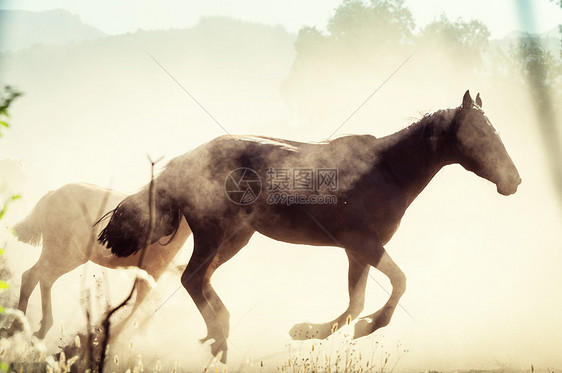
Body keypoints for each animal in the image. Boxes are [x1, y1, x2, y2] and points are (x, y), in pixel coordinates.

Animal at [12, 182, 190, 338]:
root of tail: (53, 194)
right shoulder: (152, 273)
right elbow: (136, 307)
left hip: (65, 256)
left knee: (41, 278)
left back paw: (34, 327)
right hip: (64, 254)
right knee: (34, 276)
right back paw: (21, 326)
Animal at [98, 91, 520, 362]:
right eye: (481, 136)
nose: (514, 181)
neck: (388, 170)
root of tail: (187, 160)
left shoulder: (356, 252)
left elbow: (355, 303)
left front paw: (308, 330)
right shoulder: (364, 244)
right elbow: (397, 283)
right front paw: (368, 326)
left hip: (237, 238)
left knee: (200, 280)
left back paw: (222, 331)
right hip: (214, 233)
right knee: (192, 279)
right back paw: (220, 335)